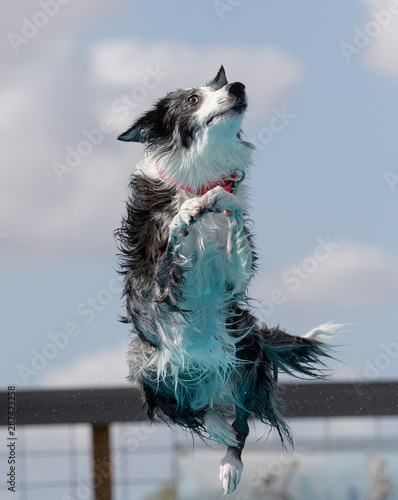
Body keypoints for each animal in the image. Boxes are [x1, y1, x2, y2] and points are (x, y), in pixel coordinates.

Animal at [115, 67, 338, 496]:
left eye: (220, 86)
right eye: (193, 99)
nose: (237, 87)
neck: (200, 174)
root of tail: (204, 369)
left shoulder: (234, 279)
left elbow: (230, 213)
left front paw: (218, 200)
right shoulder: (157, 287)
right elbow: (174, 243)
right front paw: (186, 214)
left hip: (244, 351)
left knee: (241, 423)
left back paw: (229, 464)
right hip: (146, 364)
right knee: (190, 410)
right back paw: (216, 426)